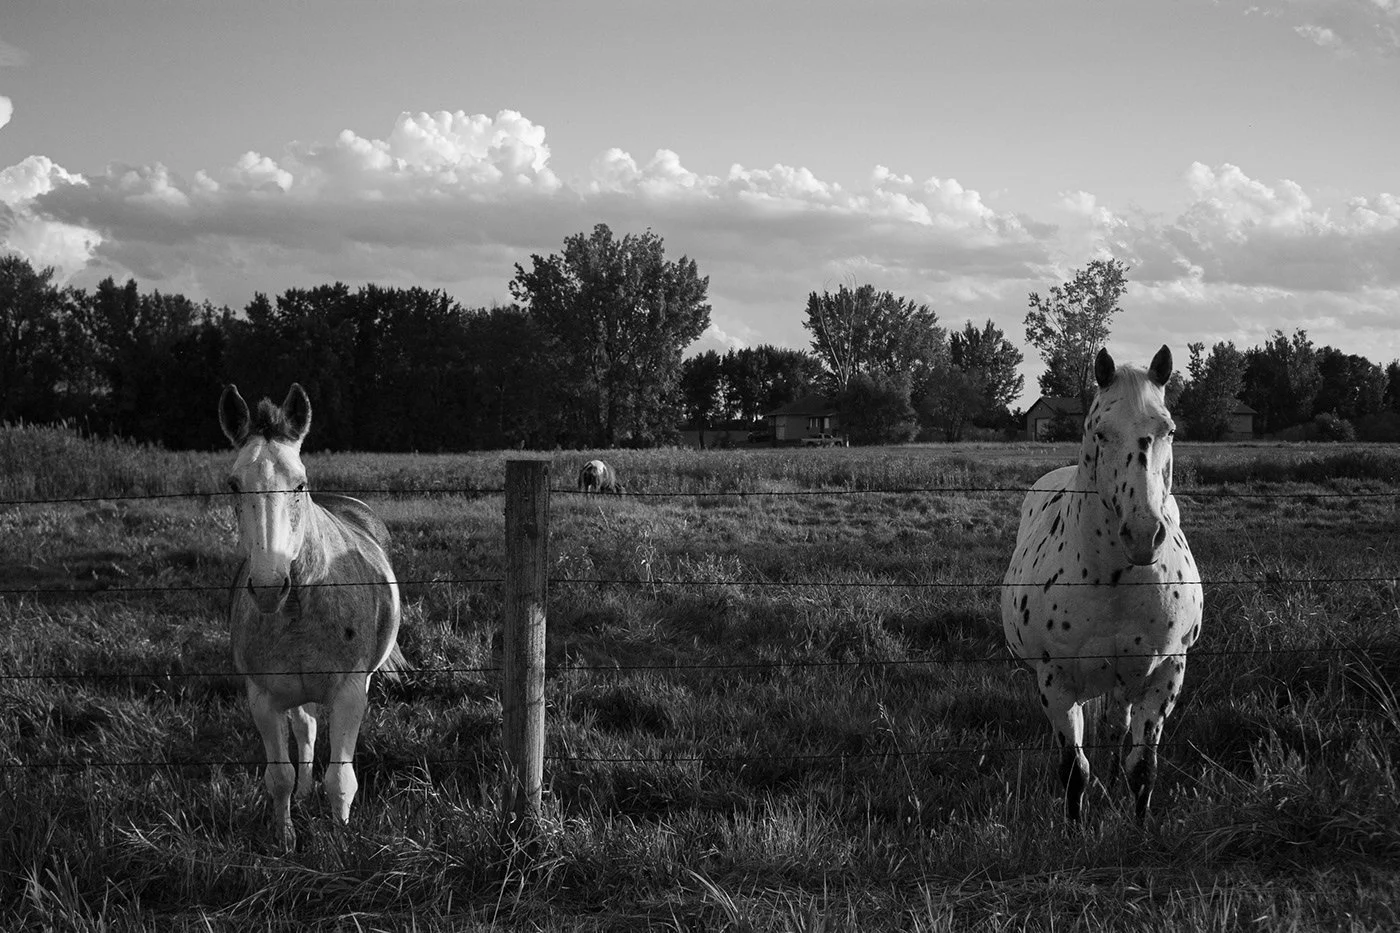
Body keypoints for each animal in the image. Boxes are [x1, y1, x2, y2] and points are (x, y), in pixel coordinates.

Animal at [219, 383, 403, 849]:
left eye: (299, 484)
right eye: (234, 484)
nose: (269, 586)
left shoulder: (350, 691)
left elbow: (341, 778)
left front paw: (340, 840)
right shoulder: (263, 698)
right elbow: (279, 776)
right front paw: (285, 838)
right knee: (306, 728)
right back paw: (304, 792)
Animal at [1001, 346, 1202, 821]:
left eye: (1169, 429)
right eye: (1100, 431)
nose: (1144, 535)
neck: (1112, 581)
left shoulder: (1164, 674)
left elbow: (1143, 767)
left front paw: (1139, 829)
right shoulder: (1056, 685)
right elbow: (1074, 771)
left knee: (1118, 729)